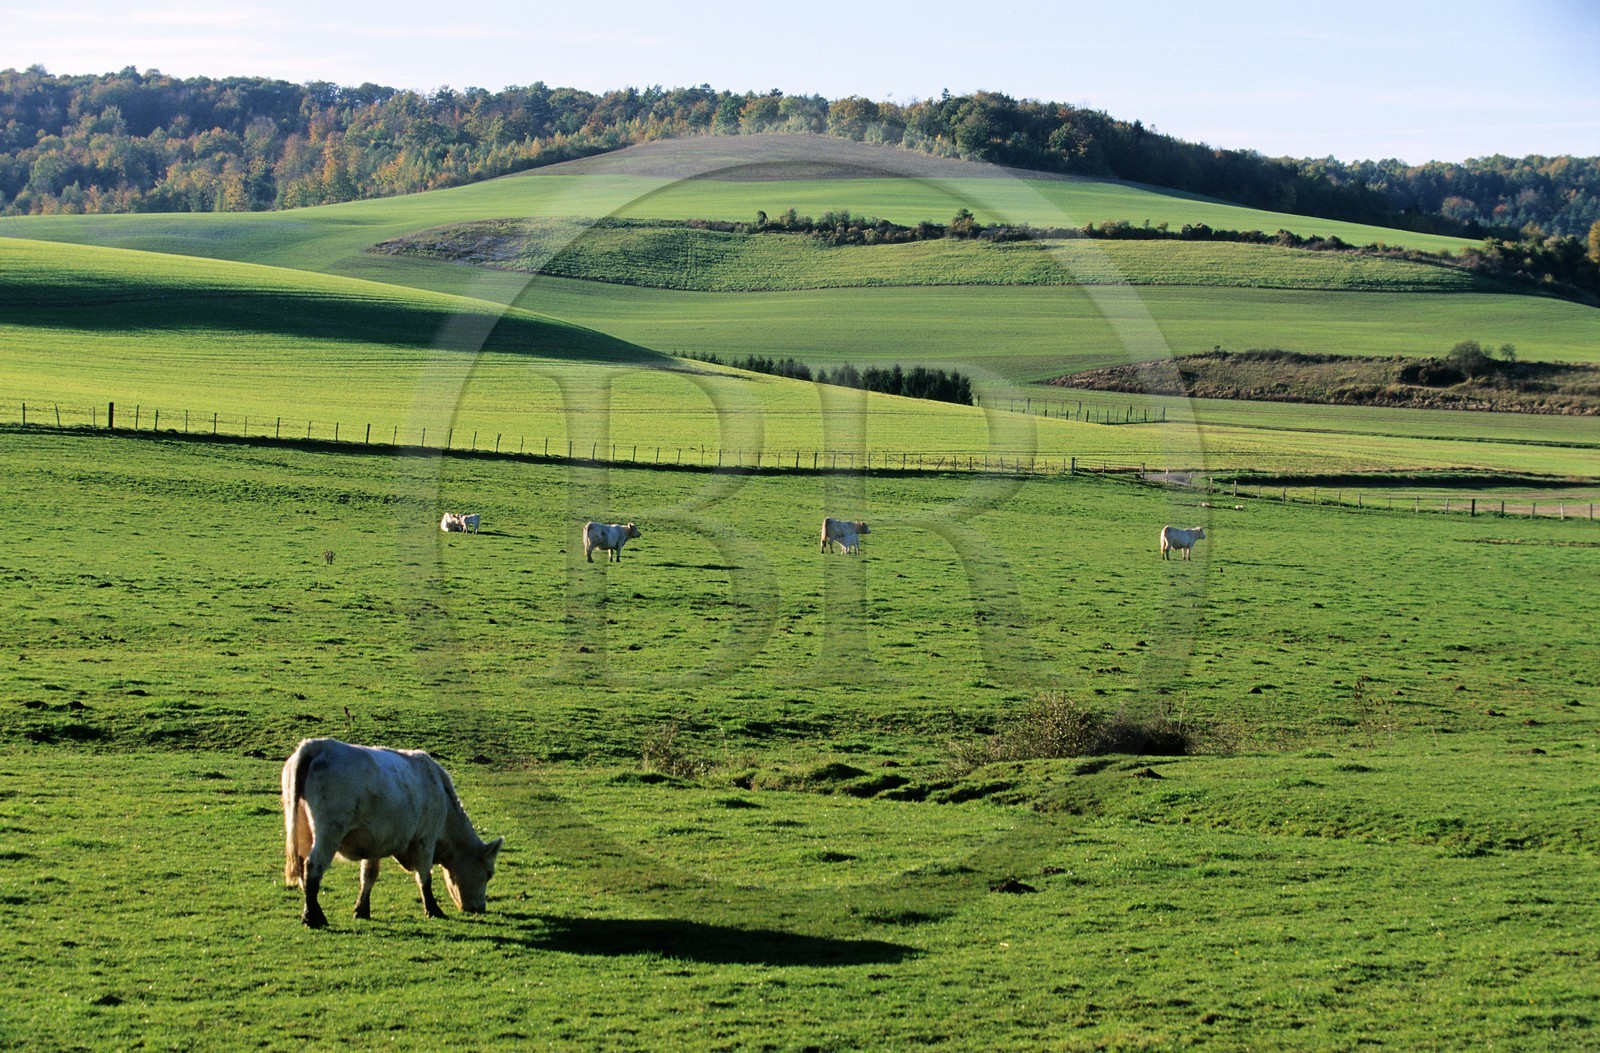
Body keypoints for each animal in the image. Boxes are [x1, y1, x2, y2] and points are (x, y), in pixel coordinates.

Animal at [281, 738, 502, 929]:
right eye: (489, 873)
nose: (480, 908)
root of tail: (318, 744)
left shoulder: (374, 845)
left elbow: (368, 876)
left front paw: (362, 910)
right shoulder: (425, 840)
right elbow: (424, 876)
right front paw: (433, 909)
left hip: (302, 832)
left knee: (302, 868)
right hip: (329, 833)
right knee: (313, 867)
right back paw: (314, 917)